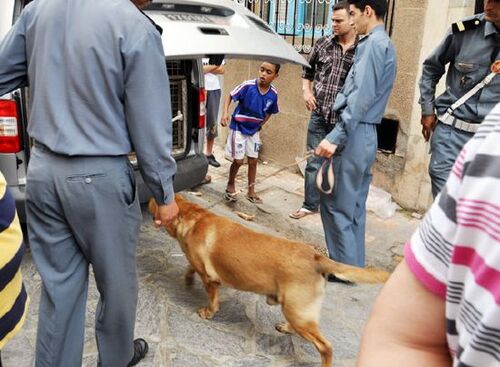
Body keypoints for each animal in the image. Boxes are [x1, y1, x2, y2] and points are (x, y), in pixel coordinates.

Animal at [149, 194, 390, 366]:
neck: (193, 217)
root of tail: (315, 257)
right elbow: (191, 267)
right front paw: (188, 278)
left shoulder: (210, 279)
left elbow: (212, 298)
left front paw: (208, 312)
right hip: (298, 312)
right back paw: (286, 328)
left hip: (297, 311)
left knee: (325, 347)